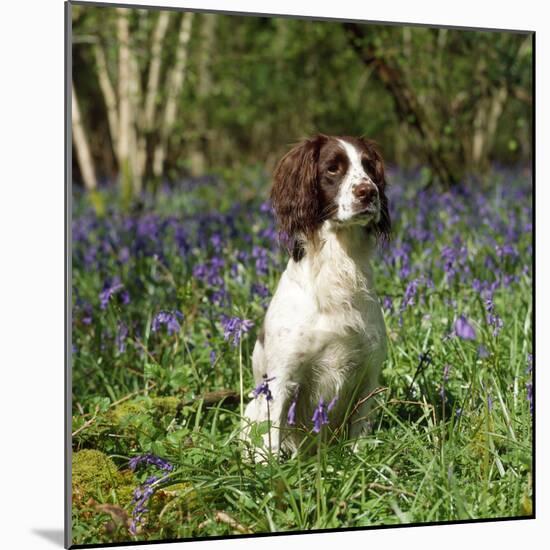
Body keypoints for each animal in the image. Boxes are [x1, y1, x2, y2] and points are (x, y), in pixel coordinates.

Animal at [244, 136, 390, 460]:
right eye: (332, 168)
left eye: (369, 166)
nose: (369, 192)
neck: (338, 265)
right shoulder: (281, 381)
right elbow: (270, 443)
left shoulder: (368, 376)